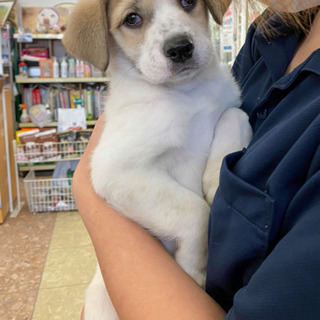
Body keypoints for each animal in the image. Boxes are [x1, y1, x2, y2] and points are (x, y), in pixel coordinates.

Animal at [63, 0, 252, 318]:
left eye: (188, 2)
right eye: (132, 19)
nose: (180, 48)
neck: (186, 95)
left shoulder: (228, 106)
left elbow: (235, 115)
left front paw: (214, 180)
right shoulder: (116, 171)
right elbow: (196, 211)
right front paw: (193, 271)